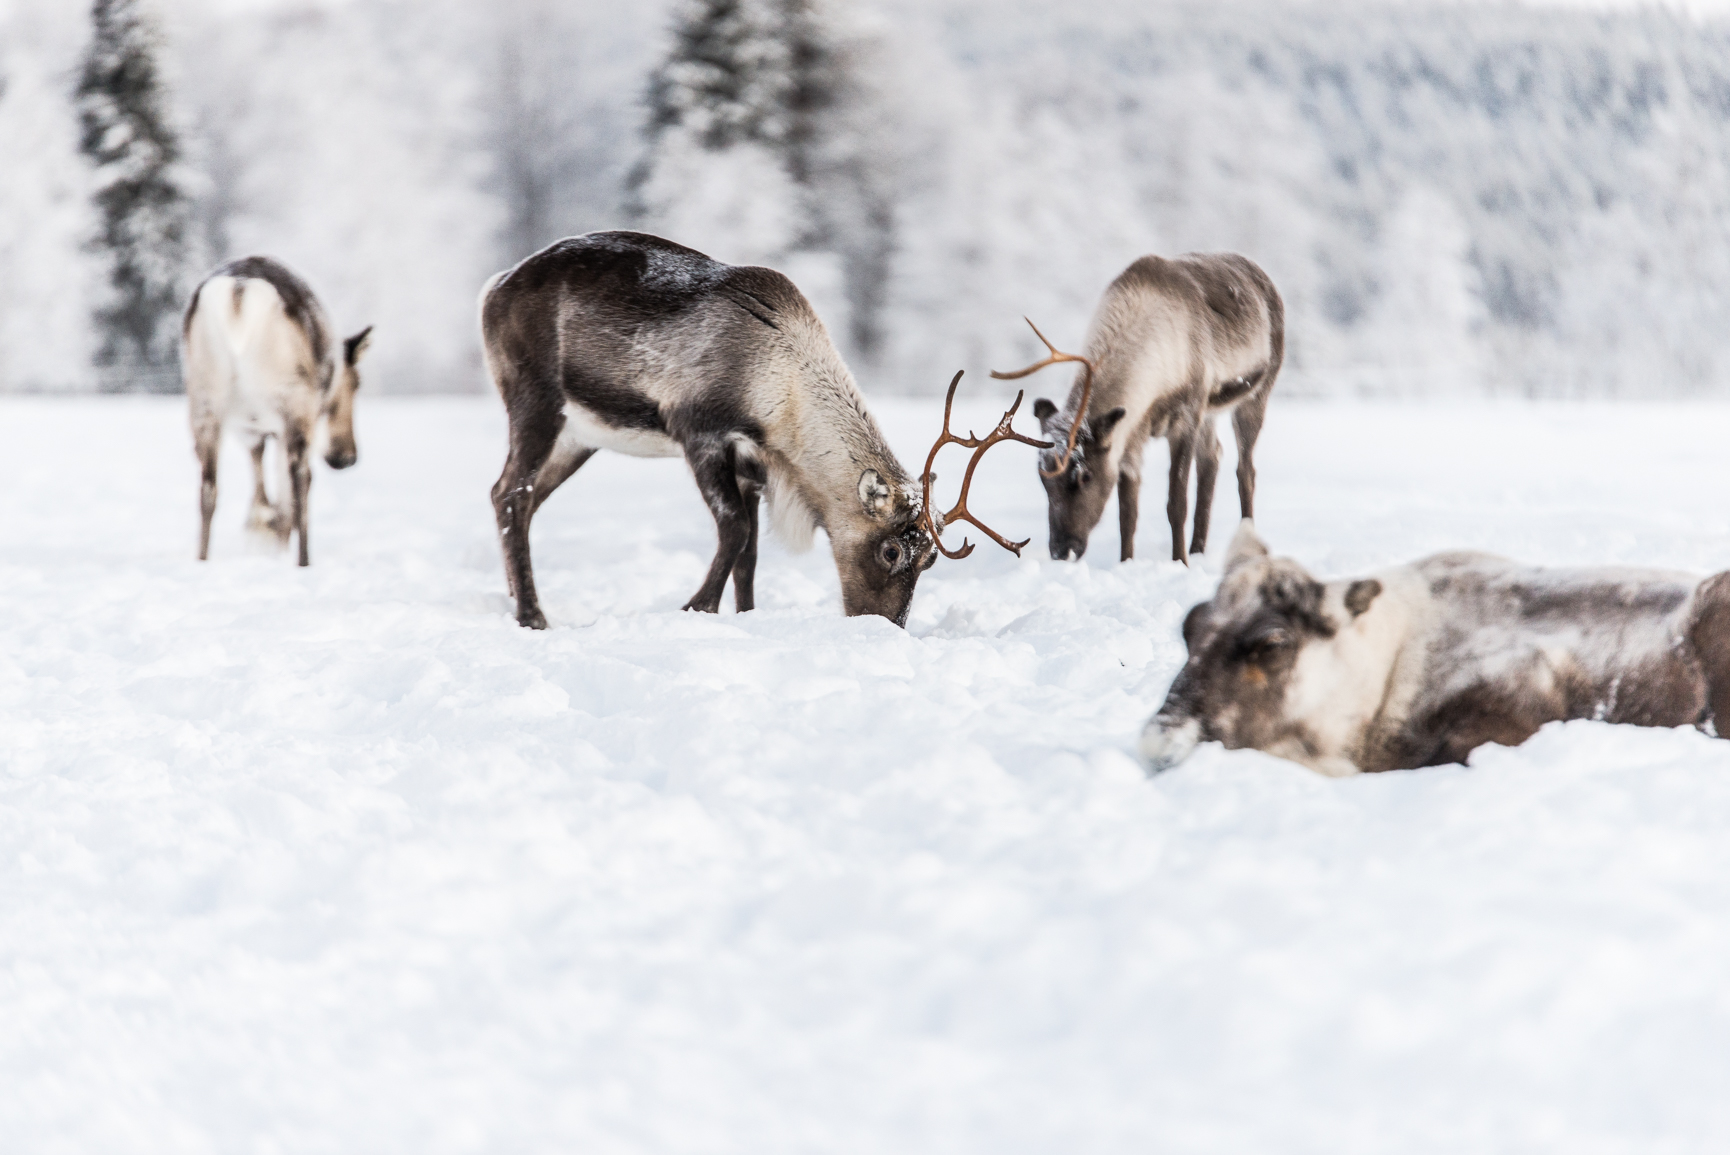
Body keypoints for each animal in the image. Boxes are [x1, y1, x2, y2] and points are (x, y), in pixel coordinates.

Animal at [182, 256, 372, 566]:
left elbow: (260, 476)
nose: (346, 458)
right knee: (301, 478)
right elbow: (284, 490)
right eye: (356, 383)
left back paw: (203, 559)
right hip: (293, 400)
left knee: (208, 487)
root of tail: (239, 293)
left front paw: (261, 528)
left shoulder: (250, 427)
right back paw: (303, 561)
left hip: (204, 399)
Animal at [478, 230, 1044, 629]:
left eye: (929, 559)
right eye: (890, 550)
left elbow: (749, 553)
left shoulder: (755, 464)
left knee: (518, 498)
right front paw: (697, 608)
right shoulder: (700, 433)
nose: (885, 626)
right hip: (535, 401)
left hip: (579, 437)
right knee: (510, 491)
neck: (781, 397)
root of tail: (494, 286)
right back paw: (532, 615)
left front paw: (746, 615)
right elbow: (734, 530)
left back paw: (515, 600)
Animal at [992, 253, 1284, 565]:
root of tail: (1265, 279)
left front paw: (1180, 562)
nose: (1062, 551)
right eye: (1043, 477)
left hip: (1255, 395)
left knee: (1245, 471)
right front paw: (1126, 563)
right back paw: (1198, 548)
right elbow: (1127, 513)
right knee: (1212, 458)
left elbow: (1176, 503)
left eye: (1085, 475)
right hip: (1210, 412)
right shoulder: (1131, 436)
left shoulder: (1186, 416)